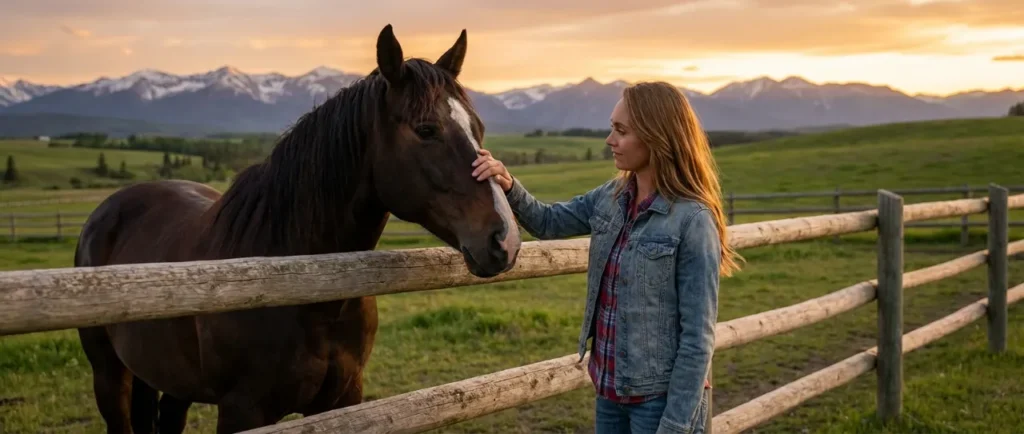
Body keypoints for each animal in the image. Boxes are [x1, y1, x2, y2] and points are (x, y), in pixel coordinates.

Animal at [73, 24, 522, 434]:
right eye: (426, 129)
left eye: (478, 129)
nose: (505, 239)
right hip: (109, 375)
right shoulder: (242, 411)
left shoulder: (344, 399)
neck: (306, 285)